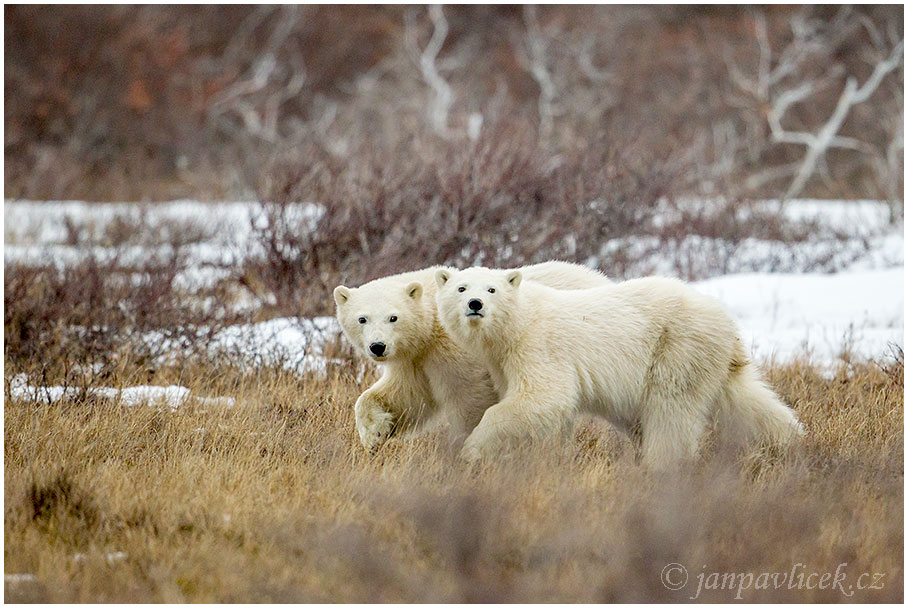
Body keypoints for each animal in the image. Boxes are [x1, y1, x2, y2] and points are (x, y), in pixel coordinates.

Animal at [334, 258, 612, 448]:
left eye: (393, 317)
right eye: (362, 319)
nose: (378, 346)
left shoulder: (456, 353)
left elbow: (470, 399)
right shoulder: (416, 357)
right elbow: (406, 395)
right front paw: (374, 433)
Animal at [432, 266, 800, 466]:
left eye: (492, 288)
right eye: (461, 287)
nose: (475, 304)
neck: (517, 323)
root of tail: (725, 320)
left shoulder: (538, 347)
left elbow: (543, 398)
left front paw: (472, 449)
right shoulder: (502, 360)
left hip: (676, 348)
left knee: (671, 412)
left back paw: (660, 464)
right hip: (711, 359)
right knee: (746, 400)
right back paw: (789, 441)